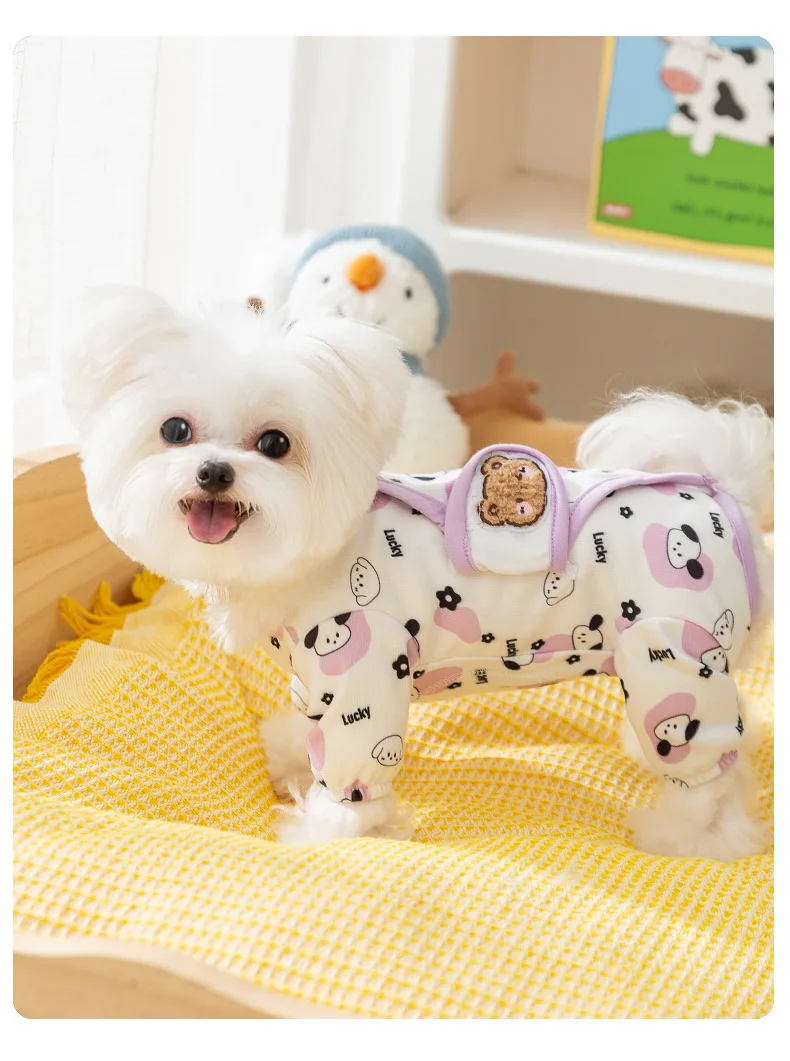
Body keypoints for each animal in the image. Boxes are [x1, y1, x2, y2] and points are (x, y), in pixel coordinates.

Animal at [64, 288, 773, 859]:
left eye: (275, 444)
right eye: (174, 430)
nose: (214, 471)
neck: (320, 559)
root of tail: (723, 496)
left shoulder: (363, 666)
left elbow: (351, 771)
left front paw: (327, 833)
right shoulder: (317, 675)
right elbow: (307, 725)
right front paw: (291, 753)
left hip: (670, 652)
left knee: (708, 771)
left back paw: (693, 837)